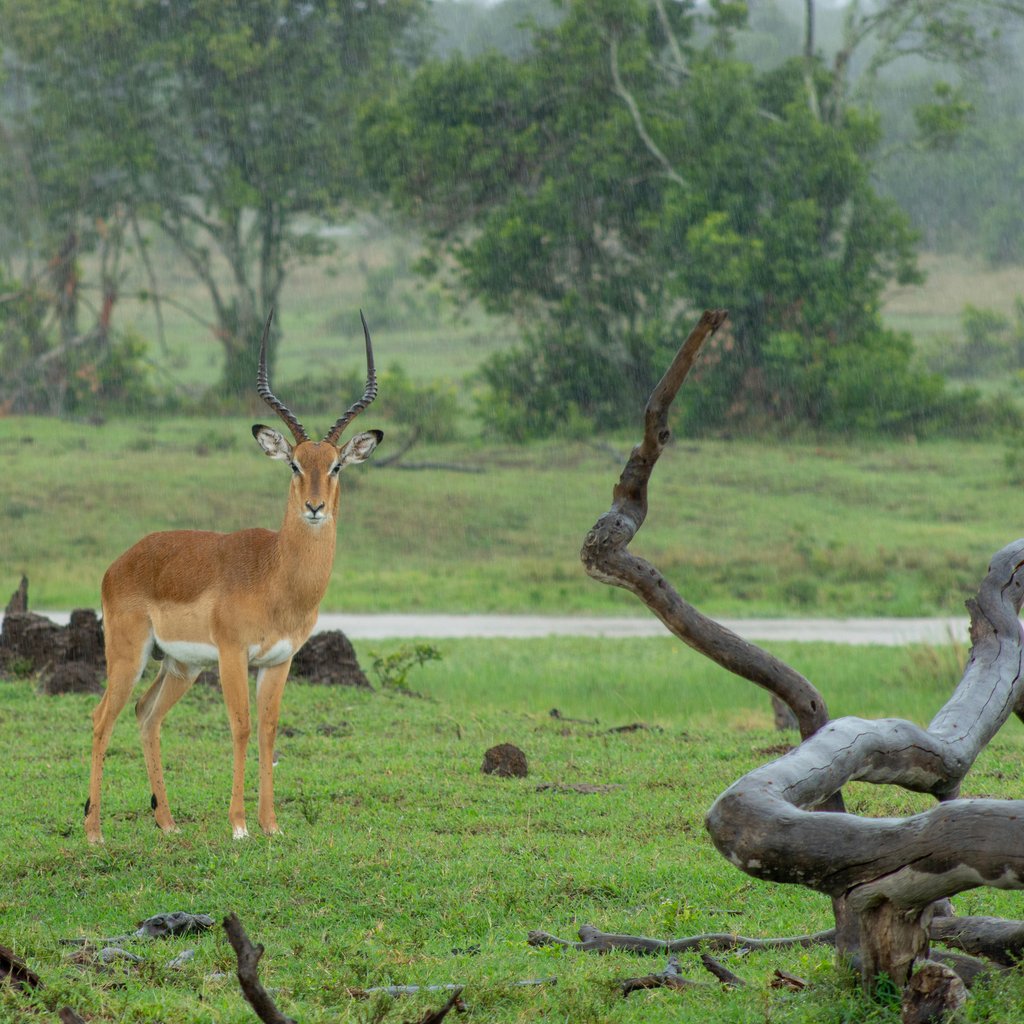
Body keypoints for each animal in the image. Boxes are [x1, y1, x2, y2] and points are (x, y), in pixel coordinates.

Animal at [84, 311, 382, 843]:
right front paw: (239, 825)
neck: (276, 576)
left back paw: (168, 824)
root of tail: (121, 562)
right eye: (294, 463)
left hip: (179, 666)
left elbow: (267, 731)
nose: (314, 507)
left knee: (145, 715)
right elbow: (240, 727)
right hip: (129, 656)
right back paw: (94, 832)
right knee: (101, 719)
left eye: (336, 466)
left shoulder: (278, 661)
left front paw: (271, 825)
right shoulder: (232, 654)